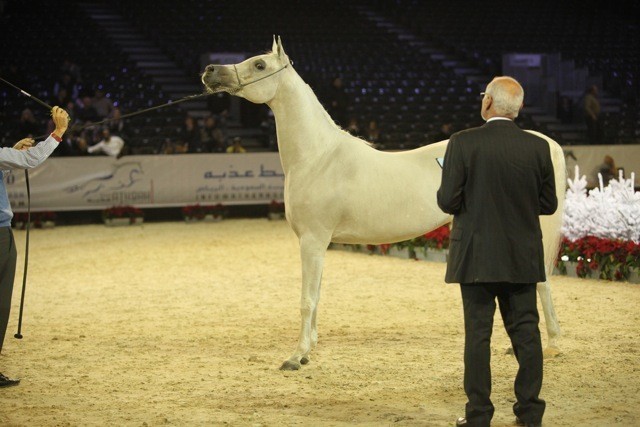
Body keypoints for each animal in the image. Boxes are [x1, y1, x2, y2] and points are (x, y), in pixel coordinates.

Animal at [201, 37, 566, 370]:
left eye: (260, 64)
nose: (210, 71)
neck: (319, 157)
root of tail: (543, 142)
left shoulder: (312, 240)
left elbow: (307, 299)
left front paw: (297, 356)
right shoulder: (317, 244)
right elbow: (317, 295)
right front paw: (310, 349)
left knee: (542, 284)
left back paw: (553, 345)